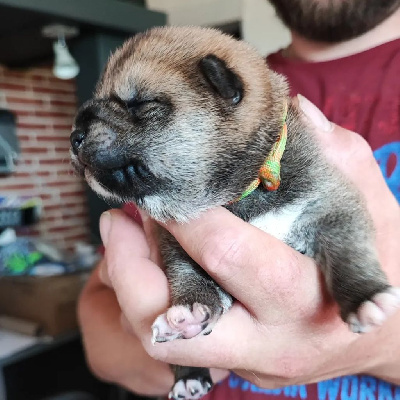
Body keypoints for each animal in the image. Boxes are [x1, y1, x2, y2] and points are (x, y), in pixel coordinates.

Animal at [70, 27, 400, 400]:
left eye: (140, 103)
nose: (74, 136)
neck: (243, 191)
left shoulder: (333, 204)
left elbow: (349, 251)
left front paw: (365, 297)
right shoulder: (172, 241)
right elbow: (186, 274)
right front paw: (191, 309)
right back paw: (189, 376)